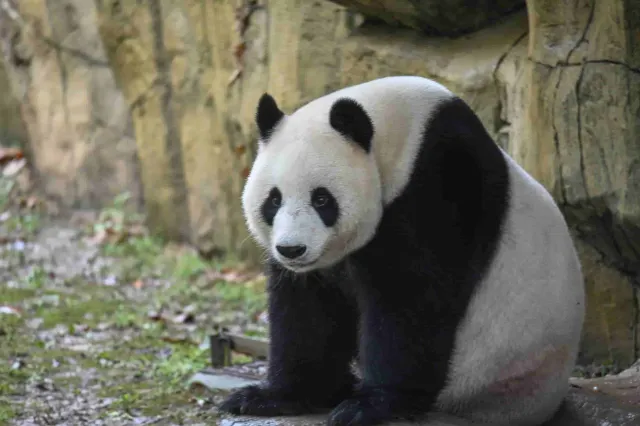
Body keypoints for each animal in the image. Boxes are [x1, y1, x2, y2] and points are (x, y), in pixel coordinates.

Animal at [220, 76, 584, 426]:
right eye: (274, 200)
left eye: (322, 199)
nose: (291, 249)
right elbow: (307, 310)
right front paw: (272, 396)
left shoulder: (437, 185)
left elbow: (409, 299)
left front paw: (371, 406)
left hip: (498, 378)